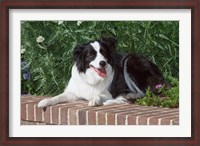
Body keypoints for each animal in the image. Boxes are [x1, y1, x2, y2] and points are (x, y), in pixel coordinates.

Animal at [38, 37, 169, 108]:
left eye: (104, 53)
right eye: (91, 55)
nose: (103, 63)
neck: (92, 78)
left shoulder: (108, 93)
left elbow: (99, 95)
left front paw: (94, 100)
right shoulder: (73, 93)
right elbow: (57, 97)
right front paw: (45, 101)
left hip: (131, 60)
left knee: (145, 92)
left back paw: (128, 95)